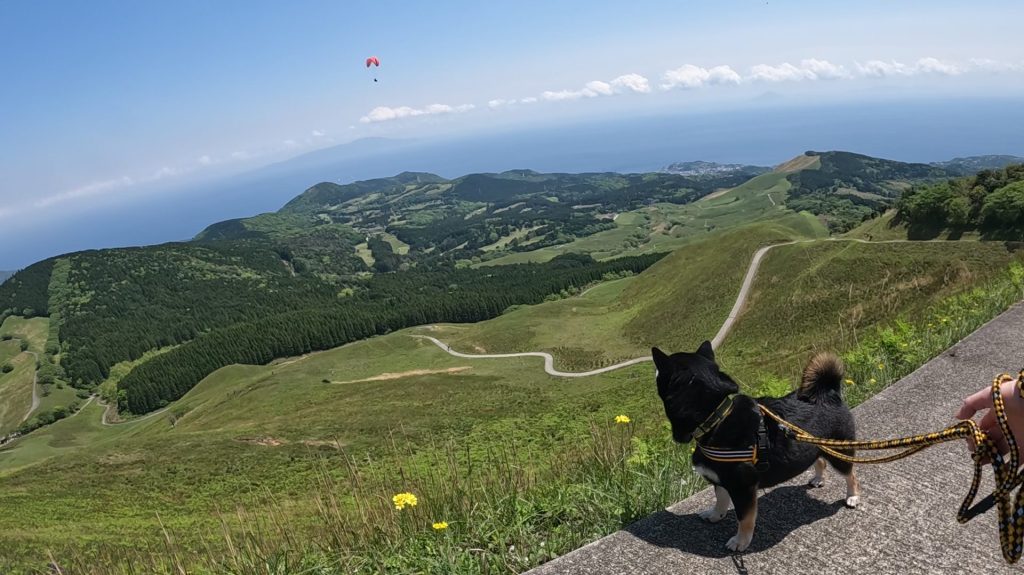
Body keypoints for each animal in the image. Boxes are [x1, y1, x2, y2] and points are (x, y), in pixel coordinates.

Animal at [651, 339, 860, 552]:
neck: (717, 419)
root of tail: (829, 394)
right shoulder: (722, 480)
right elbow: (721, 499)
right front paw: (715, 515)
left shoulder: (743, 487)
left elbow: (744, 518)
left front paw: (740, 541)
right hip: (813, 446)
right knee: (820, 461)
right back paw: (818, 478)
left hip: (839, 452)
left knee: (851, 475)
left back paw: (853, 496)